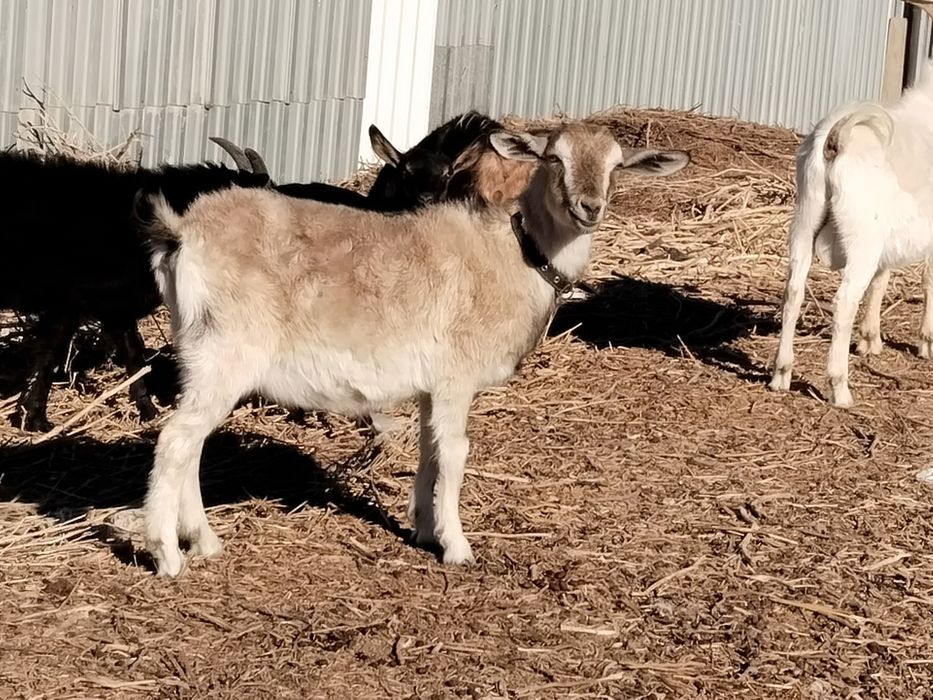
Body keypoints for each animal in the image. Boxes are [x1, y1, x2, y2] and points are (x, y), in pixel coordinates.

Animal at [0, 149, 266, 432]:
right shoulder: (71, 302)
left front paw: (148, 410)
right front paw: (35, 418)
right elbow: (50, 353)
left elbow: (133, 355)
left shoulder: (116, 305)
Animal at [142, 122, 689, 577]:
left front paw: (424, 527)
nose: (589, 207)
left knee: (191, 442)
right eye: (554, 158)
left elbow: (429, 447)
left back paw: (204, 541)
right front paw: (458, 547)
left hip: (199, 353)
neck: (514, 253)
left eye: (617, 165)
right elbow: (455, 451)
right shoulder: (456, 376)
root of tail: (181, 235)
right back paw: (168, 556)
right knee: (176, 441)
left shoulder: (431, 385)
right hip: (226, 351)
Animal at [770, 62, 933, 407]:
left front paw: (870, 340)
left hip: (805, 217)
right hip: (862, 237)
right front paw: (927, 343)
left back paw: (781, 373)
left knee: (793, 290)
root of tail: (838, 136)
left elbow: (881, 280)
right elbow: (928, 281)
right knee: (844, 302)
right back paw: (839, 388)